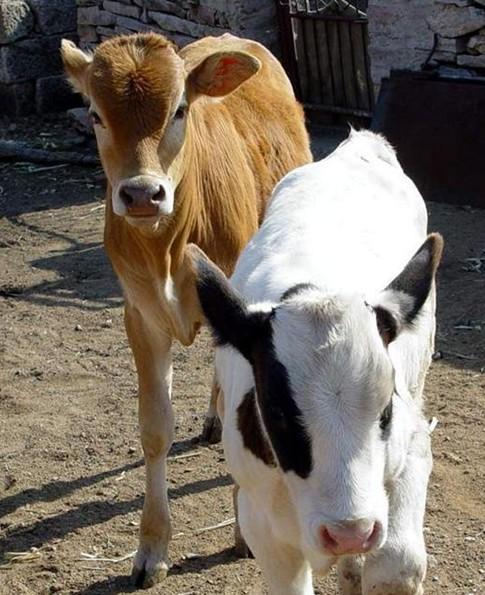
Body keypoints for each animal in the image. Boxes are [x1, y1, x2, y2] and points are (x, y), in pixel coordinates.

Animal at [61, 31, 310, 588]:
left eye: (179, 109)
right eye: (94, 114)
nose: (141, 193)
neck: (169, 247)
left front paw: (244, 532)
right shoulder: (140, 315)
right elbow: (155, 428)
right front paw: (151, 547)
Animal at [189, 132, 442, 595]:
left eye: (386, 410)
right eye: (275, 412)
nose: (349, 533)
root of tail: (360, 143)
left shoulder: (413, 446)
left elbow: (396, 566)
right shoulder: (268, 530)